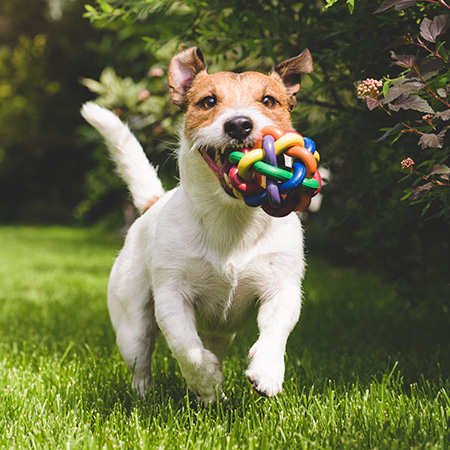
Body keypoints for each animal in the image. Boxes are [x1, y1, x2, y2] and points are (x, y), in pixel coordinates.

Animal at [81, 47, 312, 402]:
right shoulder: (171, 295)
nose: (239, 124)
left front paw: (267, 372)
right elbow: (185, 346)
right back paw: (150, 392)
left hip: (222, 332)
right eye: (208, 101)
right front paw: (204, 378)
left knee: (214, 345)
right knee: (141, 358)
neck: (231, 217)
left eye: (269, 100)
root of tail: (153, 203)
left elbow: (276, 330)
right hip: (132, 322)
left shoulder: (282, 287)